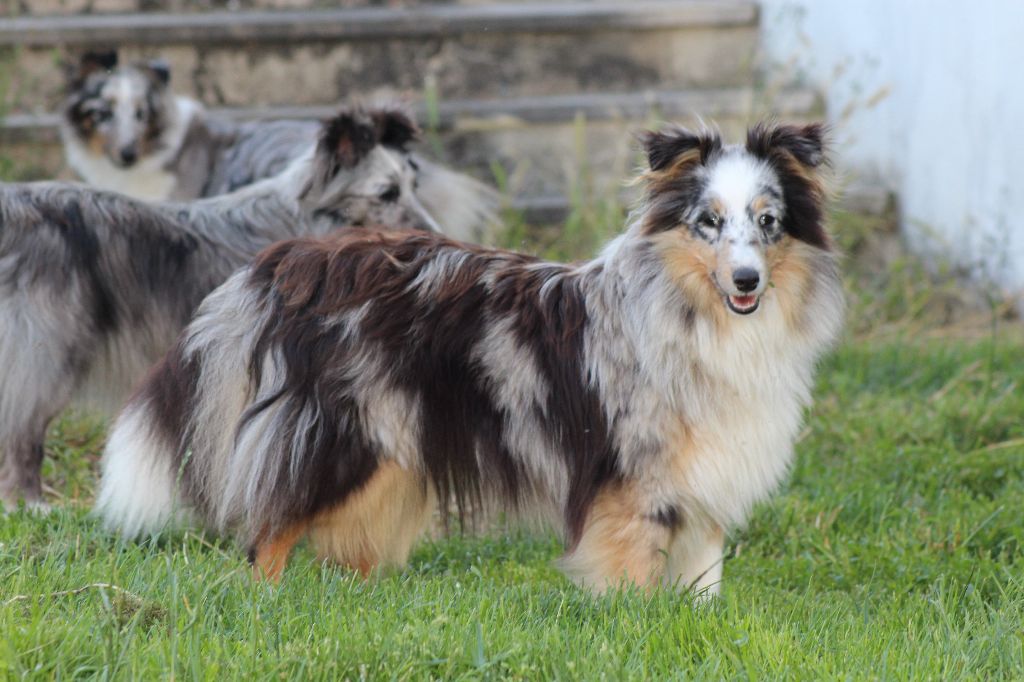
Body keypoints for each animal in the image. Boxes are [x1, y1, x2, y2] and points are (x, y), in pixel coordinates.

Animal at [0, 104, 436, 509]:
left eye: (415, 185)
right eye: (387, 193)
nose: (434, 236)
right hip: (45, 359)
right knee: (21, 435)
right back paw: (31, 504)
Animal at [96, 123, 843, 593]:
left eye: (769, 222)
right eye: (707, 222)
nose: (746, 281)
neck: (693, 314)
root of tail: (295, 260)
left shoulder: (708, 469)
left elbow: (702, 578)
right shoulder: (631, 478)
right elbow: (630, 569)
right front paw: (634, 620)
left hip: (390, 448)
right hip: (340, 438)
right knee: (271, 530)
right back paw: (267, 600)